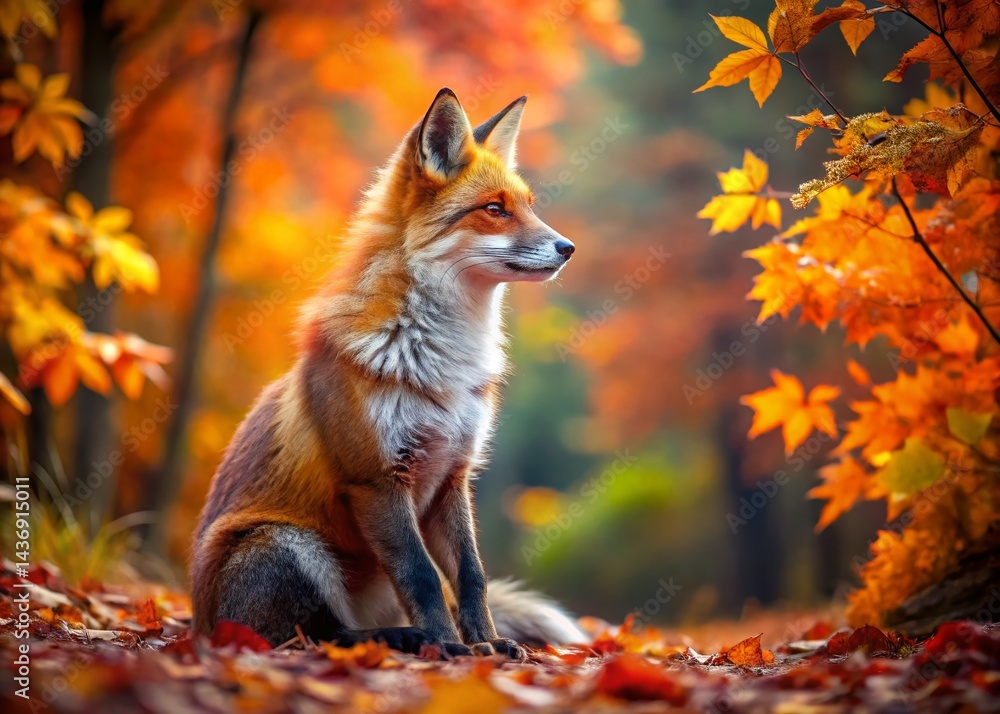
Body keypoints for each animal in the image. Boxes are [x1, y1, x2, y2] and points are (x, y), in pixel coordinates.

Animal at [190, 88, 583, 658]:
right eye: (494, 210)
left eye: (529, 206)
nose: (568, 248)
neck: (442, 365)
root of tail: (197, 623)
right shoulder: (376, 478)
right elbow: (422, 576)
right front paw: (450, 647)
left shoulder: (452, 476)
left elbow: (471, 577)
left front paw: (486, 643)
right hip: (285, 543)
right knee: (310, 635)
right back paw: (403, 637)